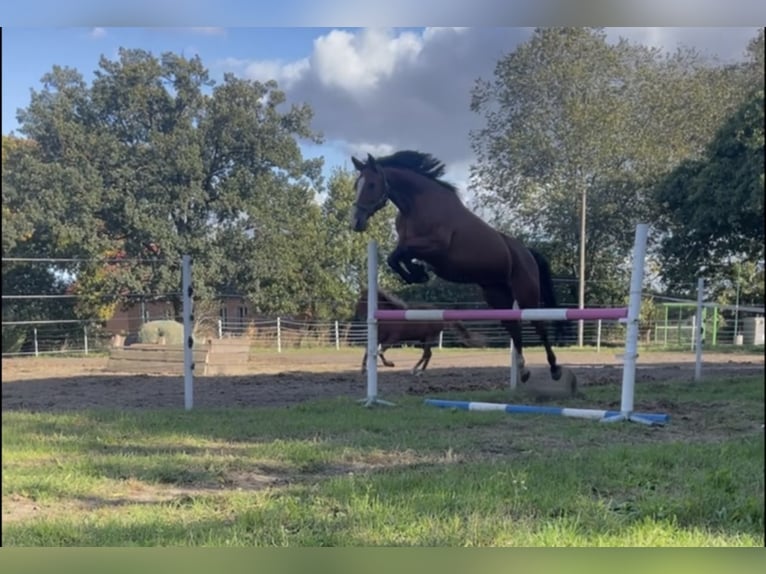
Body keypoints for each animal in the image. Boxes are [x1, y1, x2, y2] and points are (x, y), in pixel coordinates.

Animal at [352, 288, 480, 378]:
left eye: (363, 300)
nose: (357, 315)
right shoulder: (379, 337)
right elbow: (369, 350)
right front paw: (363, 370)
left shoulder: (393, 338)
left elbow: (380, 352)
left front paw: (390, 364)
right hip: (423, 340)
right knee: (428, 354)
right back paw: (416, 371)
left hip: (429, 338)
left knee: (426, 354)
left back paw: (417, 371)